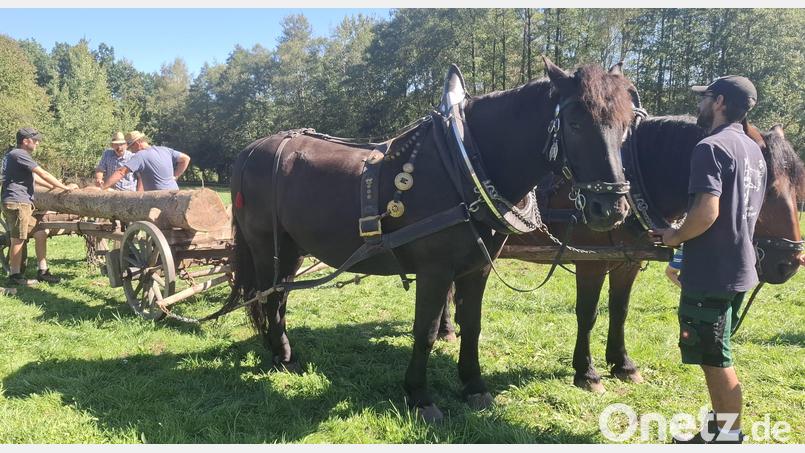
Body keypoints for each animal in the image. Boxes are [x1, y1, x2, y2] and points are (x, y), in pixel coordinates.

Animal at [226, 57, 638, 421]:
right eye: (575, 123)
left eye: (625, 126)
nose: (611, 209)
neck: (464, 165)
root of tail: (248, 151)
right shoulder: (435, 271)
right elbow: (423, 332)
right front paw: (419, 396)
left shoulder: (476, 268)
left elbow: (472, 325)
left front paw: (474, 386)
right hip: (265, 246)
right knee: (269, 298)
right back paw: (281, 356)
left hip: (291, 248)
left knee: (278, 297)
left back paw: (283, 353)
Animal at [488, 116, 805, 393]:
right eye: (768, 189)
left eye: (797, 190)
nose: (789, 264)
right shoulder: (590, 261)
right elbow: (588, 314)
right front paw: (587, 373)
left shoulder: (626, 261)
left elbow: (620, 311)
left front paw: (622, 365)